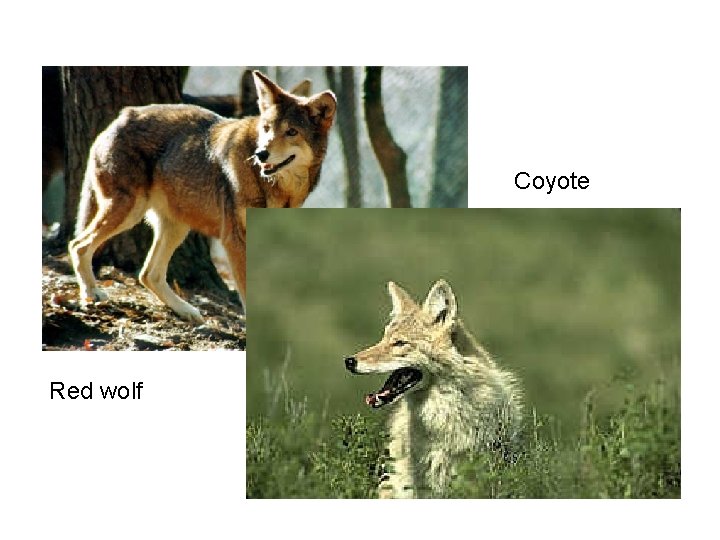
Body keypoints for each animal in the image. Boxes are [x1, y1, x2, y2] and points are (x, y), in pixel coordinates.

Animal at [68, 71, 336, 323]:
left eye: (291, 132)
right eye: (267, 129)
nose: (261, 154)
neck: (276, 188)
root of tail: (121, 116)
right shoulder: (234, 239)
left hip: (175, 226)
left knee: (148, 274)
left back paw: (186, 311)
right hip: (129, 211)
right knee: (78, 246)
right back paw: (91, 293)